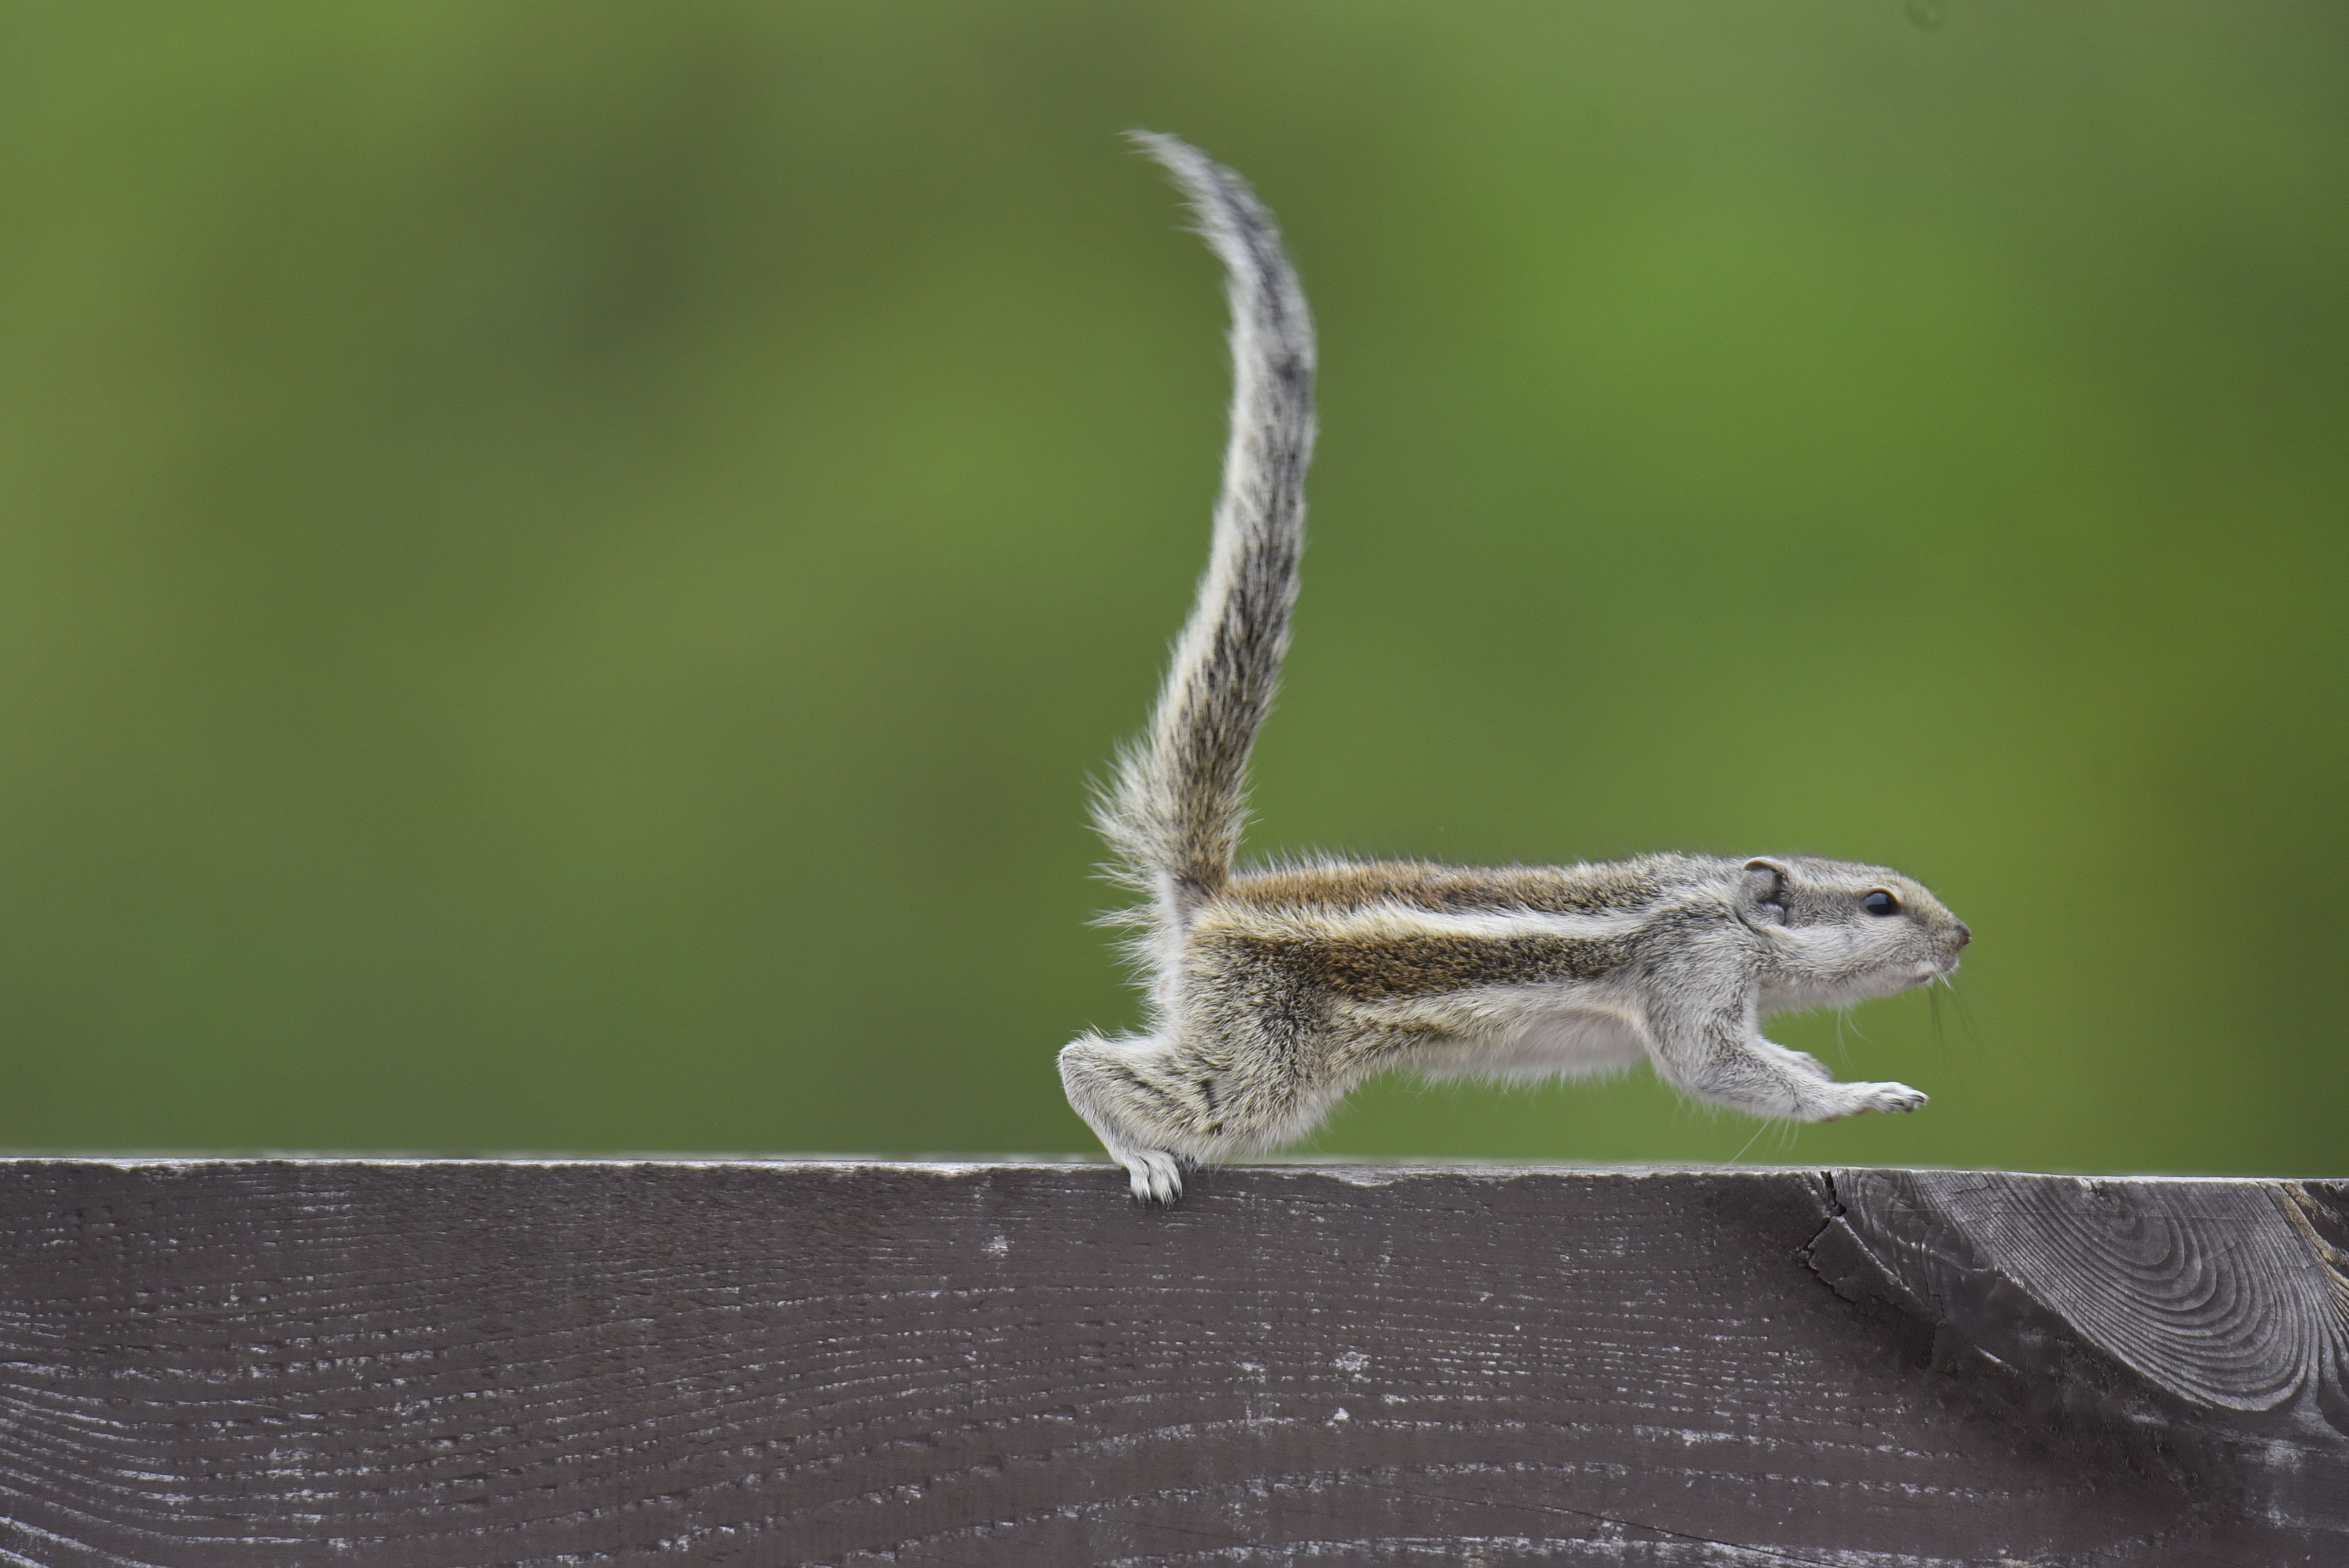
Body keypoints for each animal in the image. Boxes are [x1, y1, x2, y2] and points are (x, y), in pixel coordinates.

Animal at [1059, 134, 1971, 1204]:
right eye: (1879, 902)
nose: (1962, 937)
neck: (1723, 907)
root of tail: (1213, 906)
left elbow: (1759, 1059)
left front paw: (1812, 1061)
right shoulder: (1691, 970)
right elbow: (1714, 1067)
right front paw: (1858, 1093)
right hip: (1261, 1060)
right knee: (1098, 1063)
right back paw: (1136, 1149)